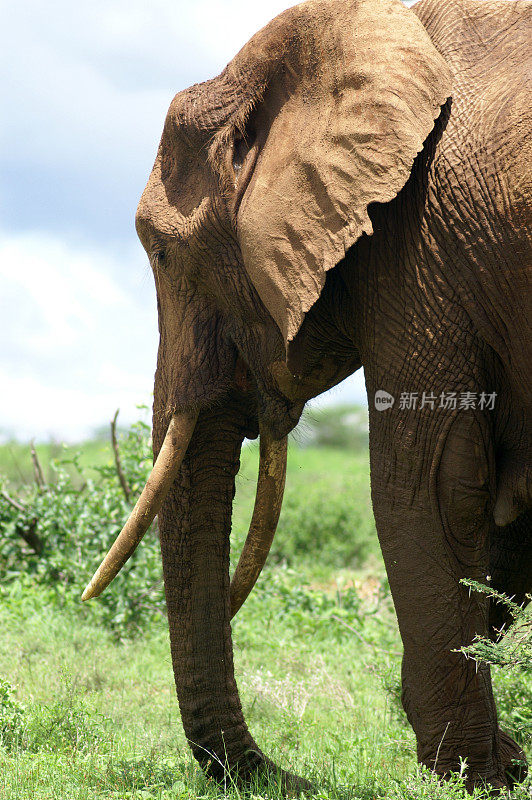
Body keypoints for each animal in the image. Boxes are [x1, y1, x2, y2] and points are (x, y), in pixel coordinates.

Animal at [81, 0, 528, 792]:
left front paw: (474, 777)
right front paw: (500, 765)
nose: (296, 778)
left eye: (162, 252)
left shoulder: (417, 247)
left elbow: (431, 489)